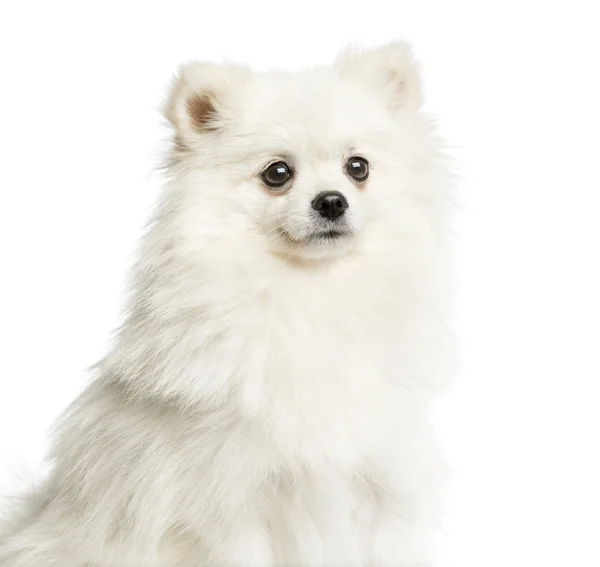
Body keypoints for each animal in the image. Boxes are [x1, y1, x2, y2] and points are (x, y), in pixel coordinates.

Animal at [0, 42, 450, 564]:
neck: (309, 291)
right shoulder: (234, 503)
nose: (332, 201)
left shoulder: (380, 486)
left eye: (358, 167)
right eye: (277, 173)